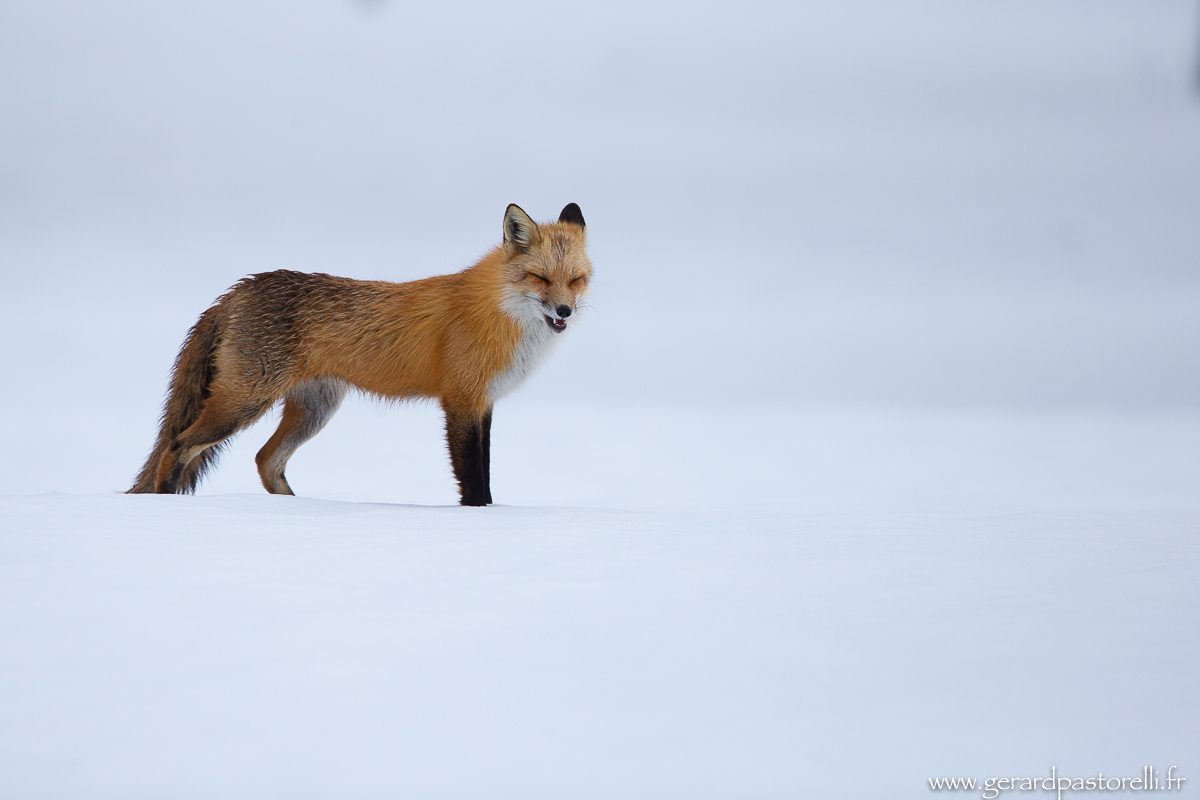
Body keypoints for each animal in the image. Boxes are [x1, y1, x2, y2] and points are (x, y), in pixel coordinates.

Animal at [128, 202, 591, 506]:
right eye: (540, 278)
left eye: (576, 280)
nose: (564, 311)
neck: (498, 313)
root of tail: (240, 287)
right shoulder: (461, 401)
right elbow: (474, 479)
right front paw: (479, 518)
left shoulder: (484, 403)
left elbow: (487, 473)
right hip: (244, 402)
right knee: (178, 445)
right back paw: (166, 506)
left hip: (314, 410)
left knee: (265, 460)